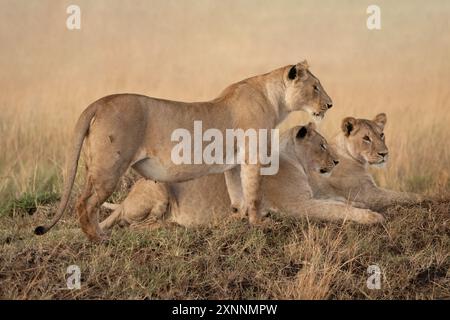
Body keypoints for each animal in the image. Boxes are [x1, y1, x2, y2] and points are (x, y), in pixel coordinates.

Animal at [33, 60, 332, 241]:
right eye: (315, 87)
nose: (330, 104)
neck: (275, 100)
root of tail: (100, 101)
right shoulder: (252, 155)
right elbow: (254, 193)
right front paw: (259, 224)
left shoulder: (234, 162)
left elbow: (237, 195)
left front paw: (235, 220)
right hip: (110, 167)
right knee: (84, 203)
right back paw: (98, 238)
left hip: (96, 166)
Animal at [100, 122, 384, 230]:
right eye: (322, 145)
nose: (336, 161)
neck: (297, 162)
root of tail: (125, 200)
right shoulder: (297, 206)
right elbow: (337, 210)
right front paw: (372, 216)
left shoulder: (309, 198)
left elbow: (339, 202)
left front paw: (360, 204)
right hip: (158, 188)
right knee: (134, 225)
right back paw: (173, 224)